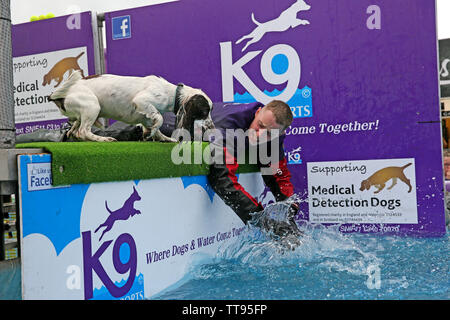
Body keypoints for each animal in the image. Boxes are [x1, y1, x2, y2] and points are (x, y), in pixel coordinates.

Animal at [48, 72, 214, 142]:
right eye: (205, 111)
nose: (212, 127)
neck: (171, 93)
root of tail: (63, 93)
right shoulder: (142, 100)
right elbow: (159, 119)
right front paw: (153, 133)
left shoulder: (146, 115)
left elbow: (155, 127)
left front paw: (162, 137)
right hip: (92, 106)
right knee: (83, 131)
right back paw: (103, 139)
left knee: (75, 128)